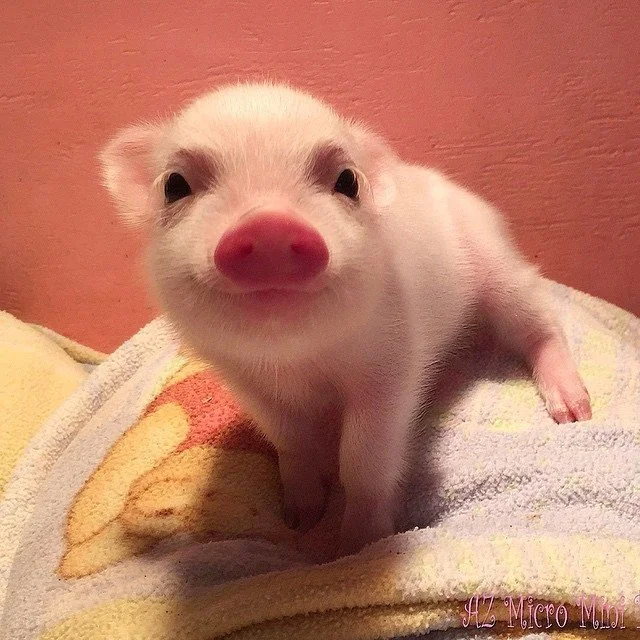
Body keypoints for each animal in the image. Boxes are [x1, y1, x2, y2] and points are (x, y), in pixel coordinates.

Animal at [100, 82, 591, 555]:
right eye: (174, 185)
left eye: (347, 181)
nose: (269, 224)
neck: (295, 361)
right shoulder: (247, 382)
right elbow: (291, 442)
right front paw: (300, 519)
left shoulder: (391, 367)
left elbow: (364, 459)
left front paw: (355, 548)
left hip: (500, 269)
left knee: (542, 322)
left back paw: (574, 412)